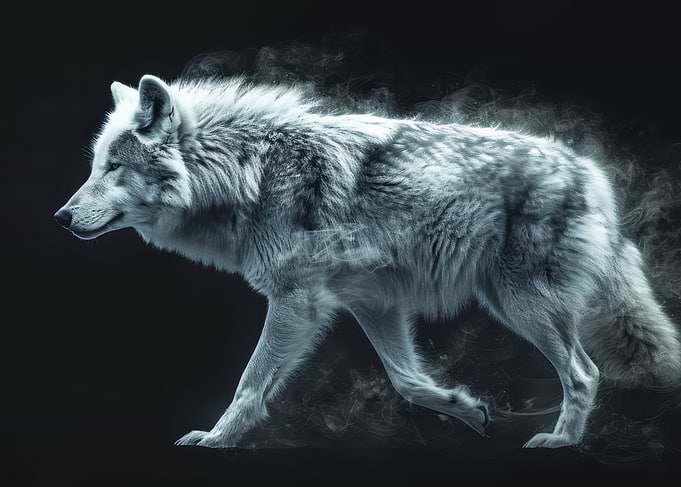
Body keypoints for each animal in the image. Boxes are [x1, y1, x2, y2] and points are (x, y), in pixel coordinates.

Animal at [55, 74, 681, 449]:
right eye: (95, 165)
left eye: (114, 166)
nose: (61, 216)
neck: (250, 172)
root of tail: (589, 170)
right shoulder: (374, 303)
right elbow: (407, 381)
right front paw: (464, 408)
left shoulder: (296, 302)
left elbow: (249, 383)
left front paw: (216, 440)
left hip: (522, 306)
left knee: (585, 371)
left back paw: (560, 443)